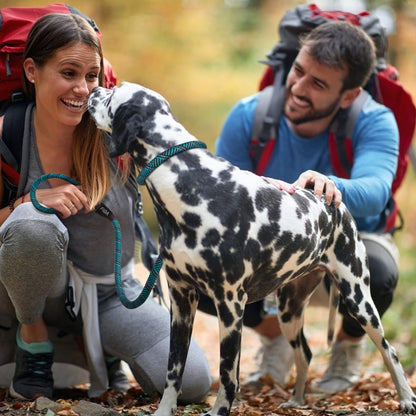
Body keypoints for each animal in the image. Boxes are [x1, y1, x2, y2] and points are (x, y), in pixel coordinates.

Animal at [88, 82, 416, 416]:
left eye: (113, 90)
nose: (95, 88)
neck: (190, 182)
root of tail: (333, 202)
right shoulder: (181, 302)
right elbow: (173, 370)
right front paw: (164, 410)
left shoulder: (230, 305)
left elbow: (227, 374)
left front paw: (218, 411)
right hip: (289, 311)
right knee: (305, 354)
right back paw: (297, 400)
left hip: (358, 300)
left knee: (389, 351)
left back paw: (405, 398)